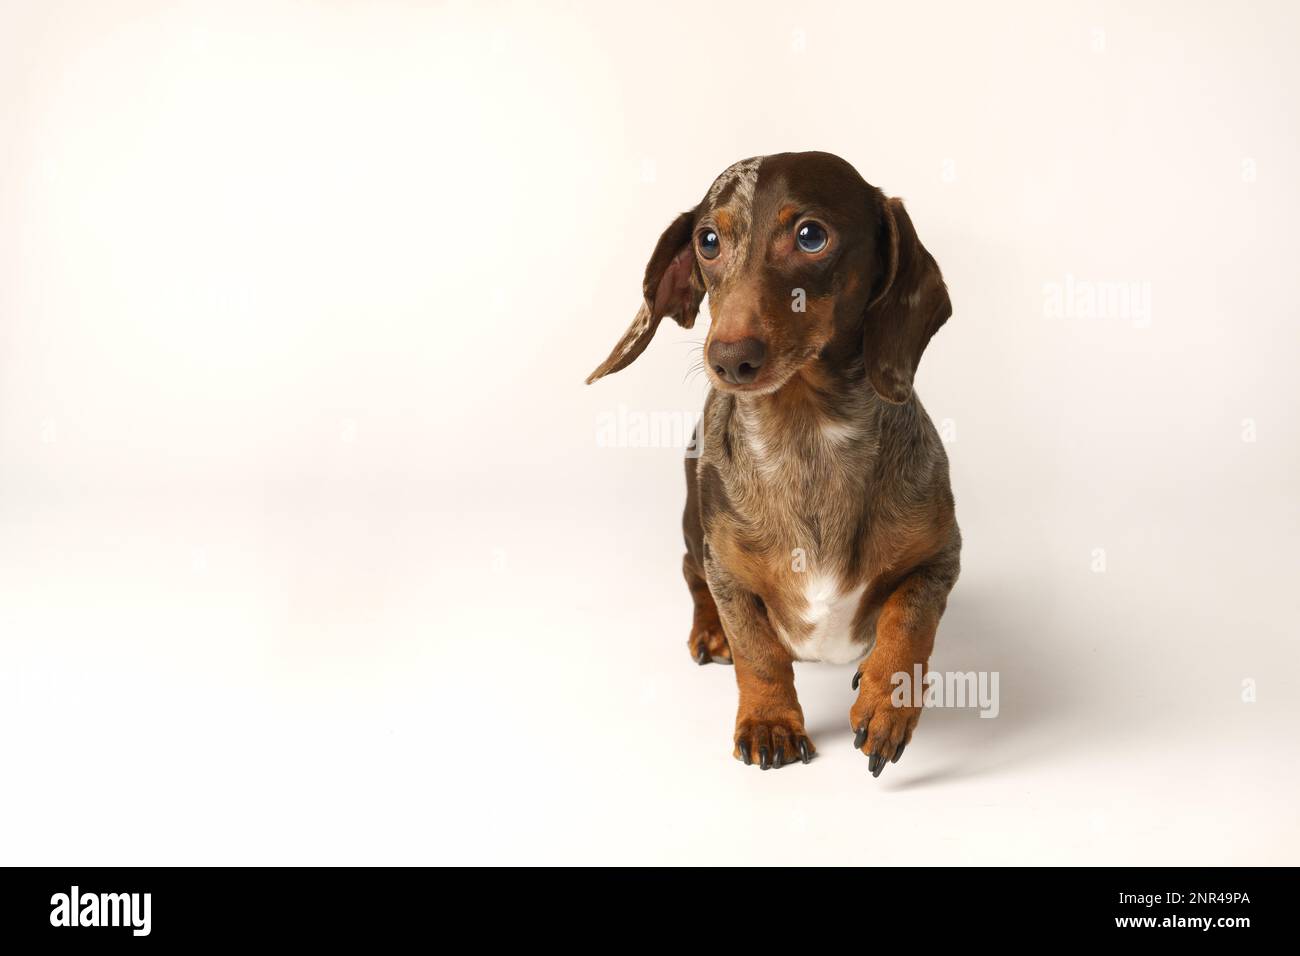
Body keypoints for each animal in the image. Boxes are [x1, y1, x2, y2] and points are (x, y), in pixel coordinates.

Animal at [585, 151, 961, 780]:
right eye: (708, 241)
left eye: (811, 236)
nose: (729, 359)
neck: (806, 436)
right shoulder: (728, 572)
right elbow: (758, 653)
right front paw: (769, 723)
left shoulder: (941, 558)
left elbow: (910, 620)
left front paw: (887, 701)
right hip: (693, 530)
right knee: (691, 577)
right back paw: (709, 633)